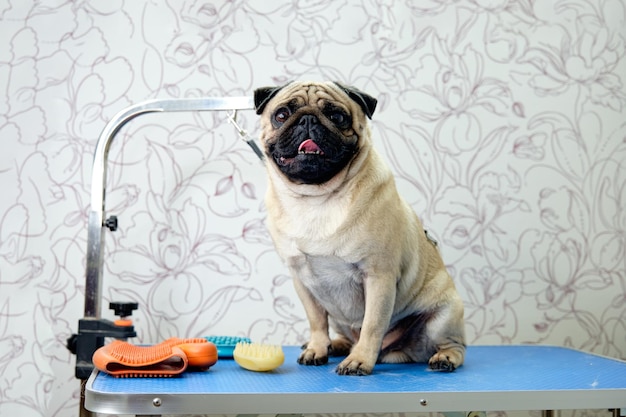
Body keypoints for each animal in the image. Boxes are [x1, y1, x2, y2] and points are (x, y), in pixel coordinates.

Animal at [252, 80, 464, 374]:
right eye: (282, 115)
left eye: (337, 117)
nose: (308, 120)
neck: (317, 198)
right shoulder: (301, 279)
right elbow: (316, 321)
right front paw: (317, 348)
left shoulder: (378, 276)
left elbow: (372, 324)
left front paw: (360, 360)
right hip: (339, 318)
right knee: (342, 332)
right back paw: (337, 345)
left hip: (443, 317)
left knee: (453, 344)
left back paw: (444, 358)